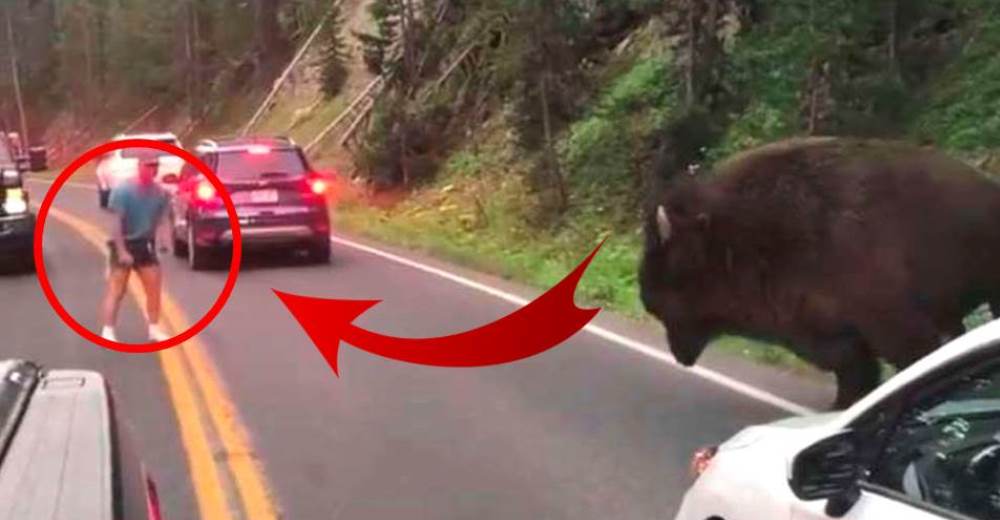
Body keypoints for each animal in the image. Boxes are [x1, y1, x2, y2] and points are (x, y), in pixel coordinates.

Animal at [640, 138, 1000, 410]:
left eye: (671, 262)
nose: (646, 295)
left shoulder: (894, 325)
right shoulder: (824, 331)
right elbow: (854, 369)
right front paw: (841, 405)